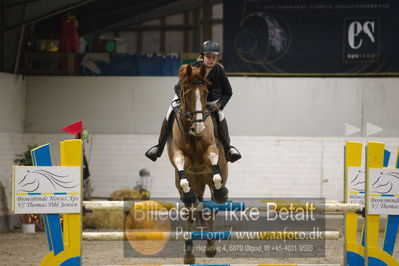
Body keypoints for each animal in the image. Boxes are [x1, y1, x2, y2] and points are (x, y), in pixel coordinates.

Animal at [166, 63, 228, 262]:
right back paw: (189, 252)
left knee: (213, 208)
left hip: (211, 179)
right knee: (190, 212)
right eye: (186, 92)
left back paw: (210, 246)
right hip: (192, 184)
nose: (199, 127)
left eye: (206, 92)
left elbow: (213, 157)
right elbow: (179, 161)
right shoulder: (177, 153)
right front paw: (188, 193)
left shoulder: (211, 148)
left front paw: (221, 190)